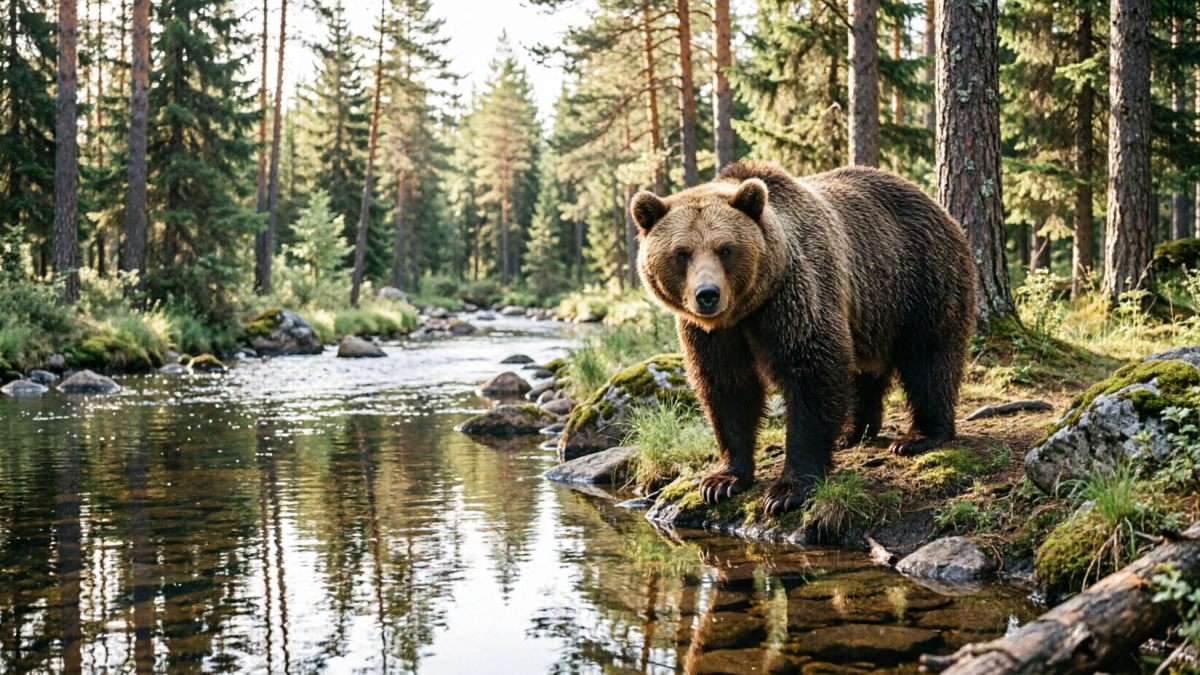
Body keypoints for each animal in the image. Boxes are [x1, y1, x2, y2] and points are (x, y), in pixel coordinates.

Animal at [631, 161, 976, 515]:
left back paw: (919, 436)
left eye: (725, 249)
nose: (708, 295)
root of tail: (935, 205)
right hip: (870, 312)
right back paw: (852, 431)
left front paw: (787, 490)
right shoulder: (710, 334)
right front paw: (722, 481)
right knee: (863, 371)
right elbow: (728, 388)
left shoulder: (794, 296)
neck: (746, 310)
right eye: (682, 253)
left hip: (918, 279)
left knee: (929, 358)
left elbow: (812, 373)